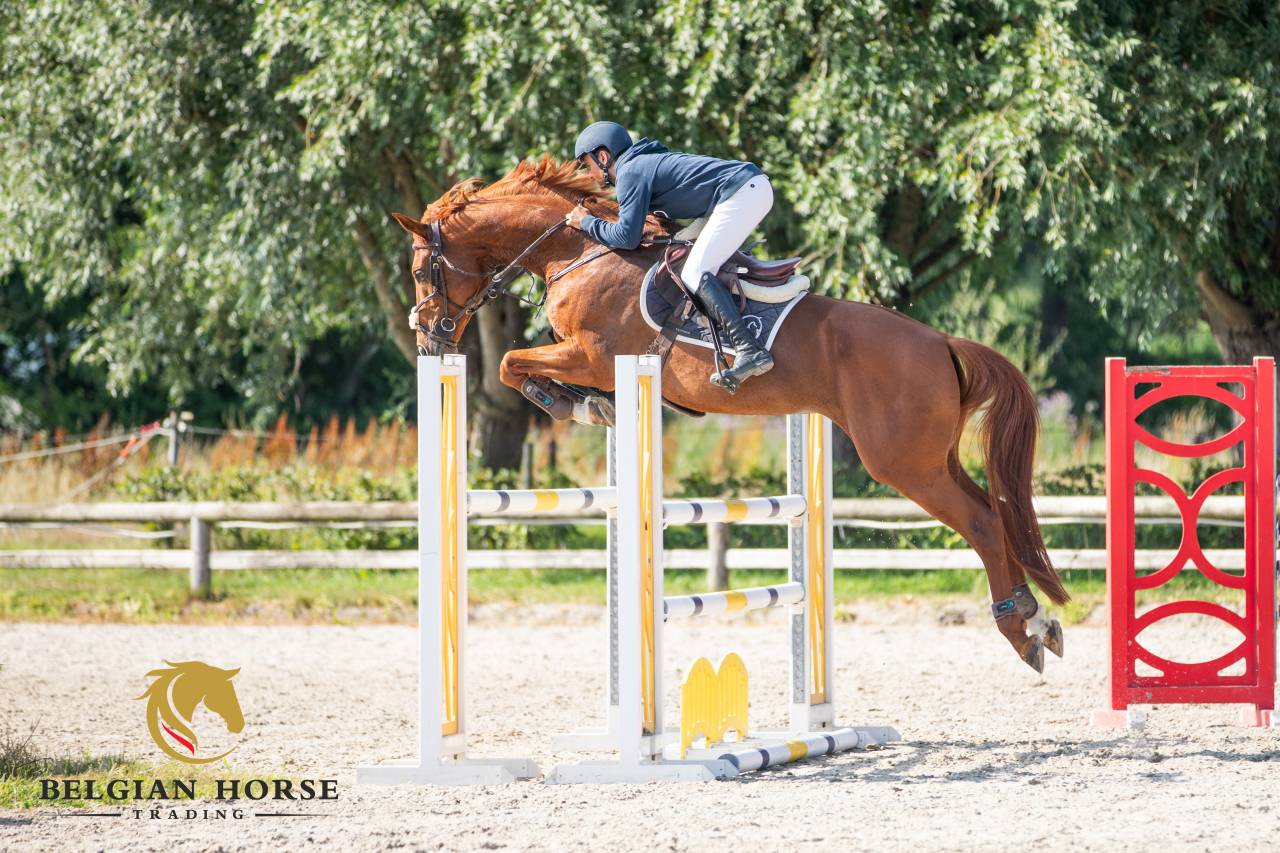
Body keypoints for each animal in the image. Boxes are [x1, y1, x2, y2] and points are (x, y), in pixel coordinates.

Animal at [391, 156, 1069, 672]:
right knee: (995, 514)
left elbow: (512, 362)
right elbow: (520, 364)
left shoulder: (592, 355)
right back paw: (1036, 619)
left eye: (424, 269)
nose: (428, 339)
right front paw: (586, 407)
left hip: (903, 463)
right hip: (932, 457)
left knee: (981, 523)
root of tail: (941, 342)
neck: (575, 251)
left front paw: (575, 406)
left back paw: (1019, 630)